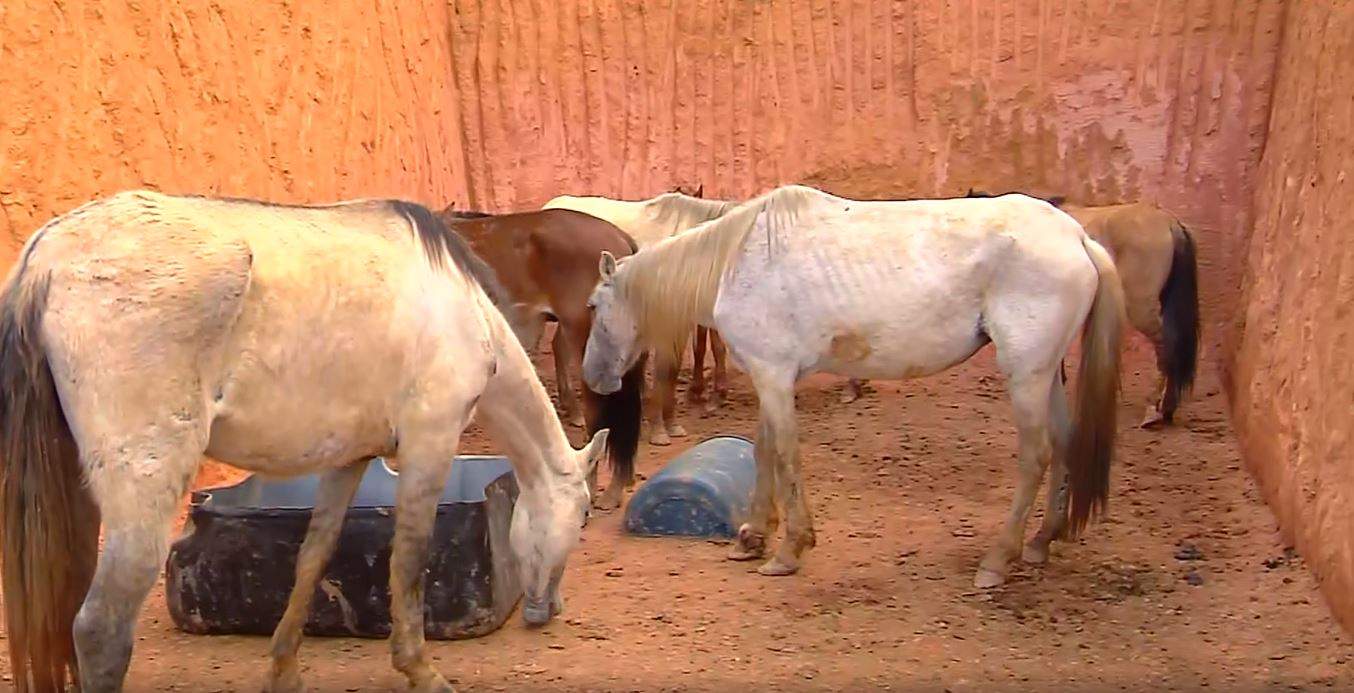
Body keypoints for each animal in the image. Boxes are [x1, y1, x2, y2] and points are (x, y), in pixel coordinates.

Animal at [0, 192, 603, 693]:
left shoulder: (349, 461)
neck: (466, 310)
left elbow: (314, 556)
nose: (548, 609)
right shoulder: (429, 447)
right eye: (583, 515)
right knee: (101, 628)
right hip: (143, 490)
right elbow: (409, 562)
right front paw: (419, 669)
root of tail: (46, 257)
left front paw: (284, 668)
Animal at [579, 184, 1121, 584]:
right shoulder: (771, 376)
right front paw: (753, 537)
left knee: (1036, 456)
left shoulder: (774, 377)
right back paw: (1040, 542)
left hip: (1025, 374)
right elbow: (764, 452)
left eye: (593, 306)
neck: (739, 260)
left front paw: (789, 550)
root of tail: (1078, 237)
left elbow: (786, 455)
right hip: (1045, 373)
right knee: (1064, 444)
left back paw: (998, 560)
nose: (593, 378)